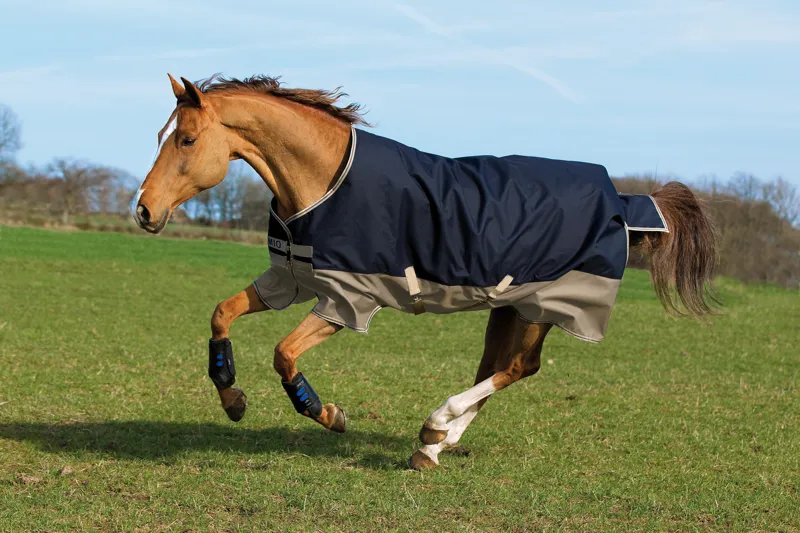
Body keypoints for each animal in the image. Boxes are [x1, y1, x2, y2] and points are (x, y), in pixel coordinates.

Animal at [132, 74, 717, 470]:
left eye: (186, 139)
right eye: (161, 134)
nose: (143, 211)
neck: (324, 181)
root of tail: (619, 198)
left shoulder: (347, 300)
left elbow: (283, 354)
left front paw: (326, 413)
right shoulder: (292, 280)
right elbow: (221, 314)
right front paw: (232, 398)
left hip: (543, 307)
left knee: (518, 368)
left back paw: (435, 428)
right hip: (509, 307)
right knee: (497, 368)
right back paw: (435, 444)